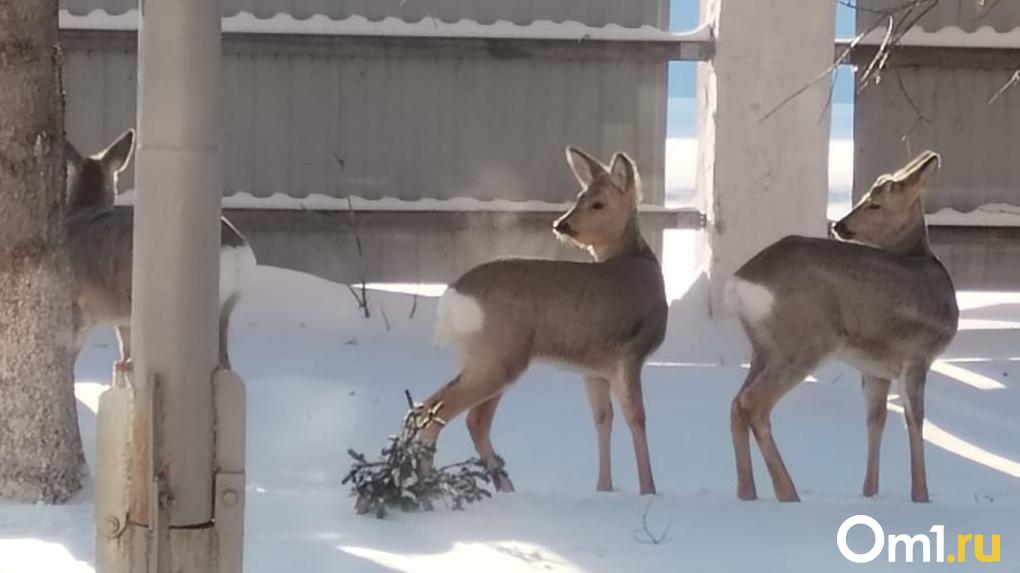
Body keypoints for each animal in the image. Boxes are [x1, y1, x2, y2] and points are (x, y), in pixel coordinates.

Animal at [414, 146, 669, 495]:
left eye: (596, 202)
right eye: (581, 196)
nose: (562, 225)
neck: (638, 261)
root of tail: (453, 297)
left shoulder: (594, 368)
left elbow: (603, 419)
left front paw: (604, 488)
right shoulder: (630, 354)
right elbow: (637, 419)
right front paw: (648, 490)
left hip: (483, 356)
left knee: (466, 418)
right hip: (500, 355)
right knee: (438, 410)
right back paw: (428, 487)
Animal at [726, 150, 954, 499]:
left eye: (874, 203)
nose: (840, 224)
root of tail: (741, 282)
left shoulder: (875, 369)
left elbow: (876, 419)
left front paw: (870, 491)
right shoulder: (918, 355)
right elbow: (916, 419)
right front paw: (921, 496)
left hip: (763, 347)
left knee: (736, 403)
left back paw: (747, 493)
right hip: (807, 341)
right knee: (754, 403)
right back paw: (788, 493)